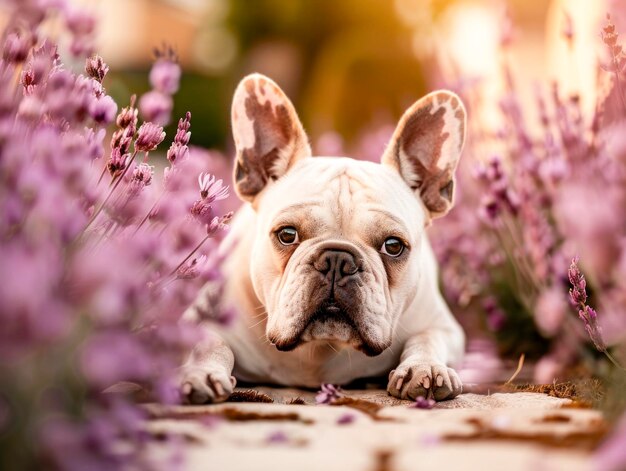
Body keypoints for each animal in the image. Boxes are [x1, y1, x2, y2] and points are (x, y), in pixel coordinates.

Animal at [178, 74, 466, 406]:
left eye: (393, 246)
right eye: (287, 234)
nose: (337, 260)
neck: (318, 352)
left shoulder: (444, 327)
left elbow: (428, 338)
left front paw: (425, 368)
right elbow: (210, 344)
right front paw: (200, 374)